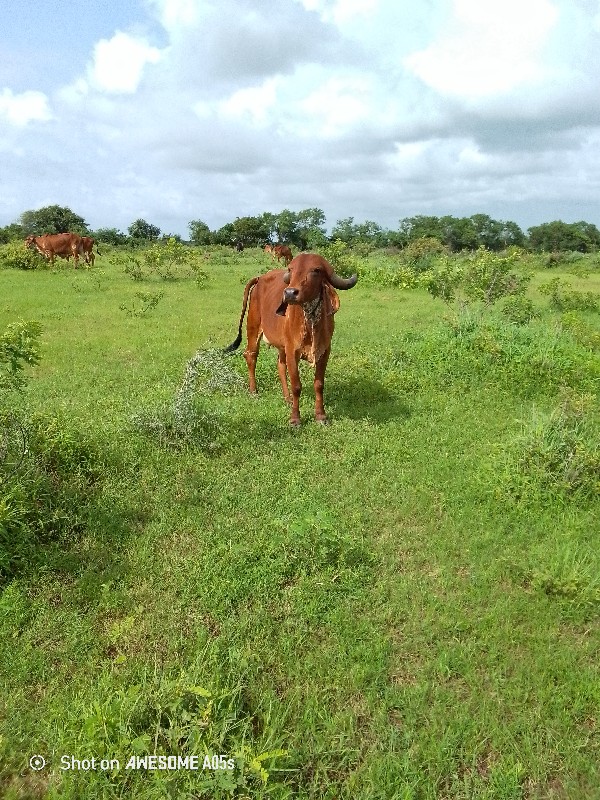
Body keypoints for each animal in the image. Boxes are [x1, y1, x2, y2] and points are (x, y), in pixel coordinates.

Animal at [225, 253, 356, 428]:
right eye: (291, 269)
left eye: (316, 270)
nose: (289, 293)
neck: (310, 319)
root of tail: (260, 278)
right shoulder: (292, 350)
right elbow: (296, 386)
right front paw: (295, 419)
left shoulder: (324, 351)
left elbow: (319, 384)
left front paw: (321, 416)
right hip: (253, 327)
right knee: (251, 355)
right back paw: (253, 391)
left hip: (281, 345)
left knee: (280, 365)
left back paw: (287, 398)